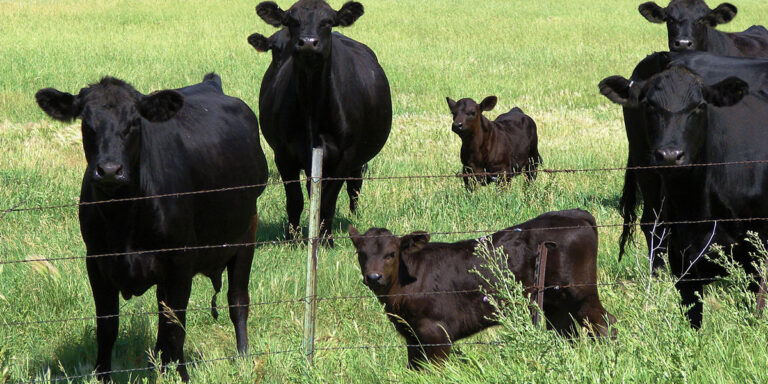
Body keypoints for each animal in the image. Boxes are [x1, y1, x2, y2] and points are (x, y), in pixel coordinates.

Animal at [34, 73, 268, 380]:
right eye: (87, 123)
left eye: (134, 123)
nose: (110, 170)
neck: (122, 217)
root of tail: (210, 83)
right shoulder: (96, 262)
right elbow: (107, 327)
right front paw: (102, 376)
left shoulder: (180, 263)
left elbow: (176, 326)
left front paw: (181, 377)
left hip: (245, 235)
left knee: (237, 300)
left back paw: (242, 358)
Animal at [250, 0, 392, 242]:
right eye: (292, 21)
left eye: (328, 22)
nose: (308, 42)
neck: (312, 109)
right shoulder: (283, 155)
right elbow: (295, 200)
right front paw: (293, 237)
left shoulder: (345, 156)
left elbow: (328, 200)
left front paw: (326, 239)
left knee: (355, 185)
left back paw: (354, 215)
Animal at [352, 208, 616, 370]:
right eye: (361, 253)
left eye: (391, 254)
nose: (373, 277)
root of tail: (574, 213)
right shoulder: (412, 337)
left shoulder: (436, 334)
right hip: (554, 303)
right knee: (566, 333)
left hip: (581, 293)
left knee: (604, 324)